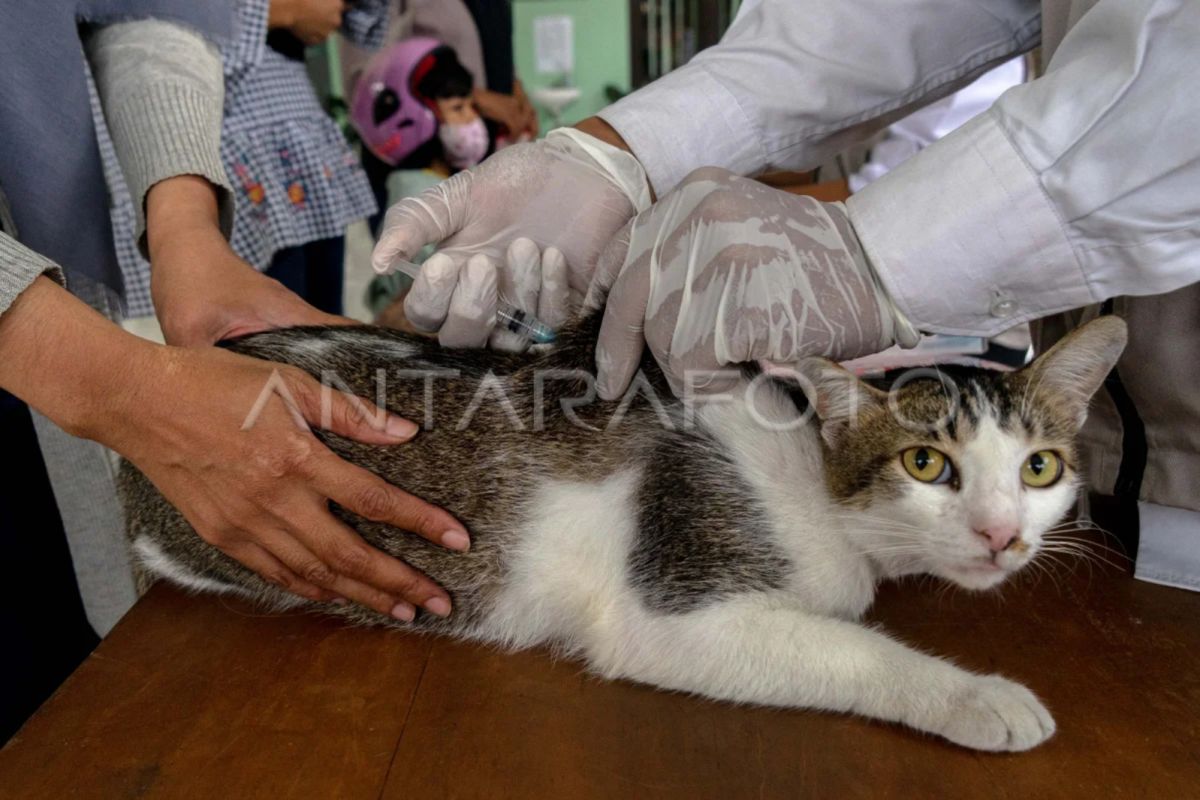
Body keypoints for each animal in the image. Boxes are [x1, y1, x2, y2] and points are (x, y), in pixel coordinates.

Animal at [117, 311, 1128, 753]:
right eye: (927, 464)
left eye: (1040, 468)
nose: (1003, 536)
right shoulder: (671, 599)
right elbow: (855, 650)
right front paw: (978, 696)